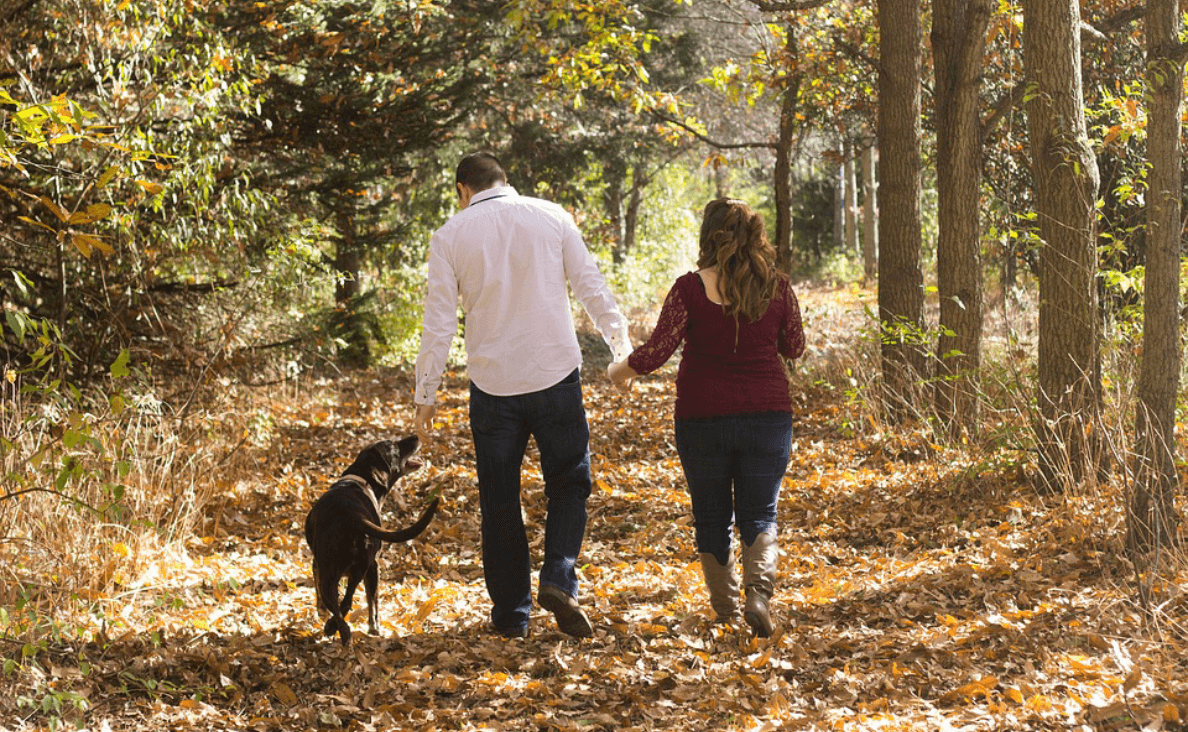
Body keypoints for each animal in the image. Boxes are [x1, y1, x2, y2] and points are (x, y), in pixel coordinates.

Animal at [304, 437, 439, 641]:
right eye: (395, 445)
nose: (415, 437)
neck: (361, 478)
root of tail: (353, 516)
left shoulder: (316, 565)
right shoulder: (372, 567)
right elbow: (372, 601)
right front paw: (374, 628)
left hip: (331, 574)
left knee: (339, 604)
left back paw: (334, 630)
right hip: (364, 568)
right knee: (347, 602)